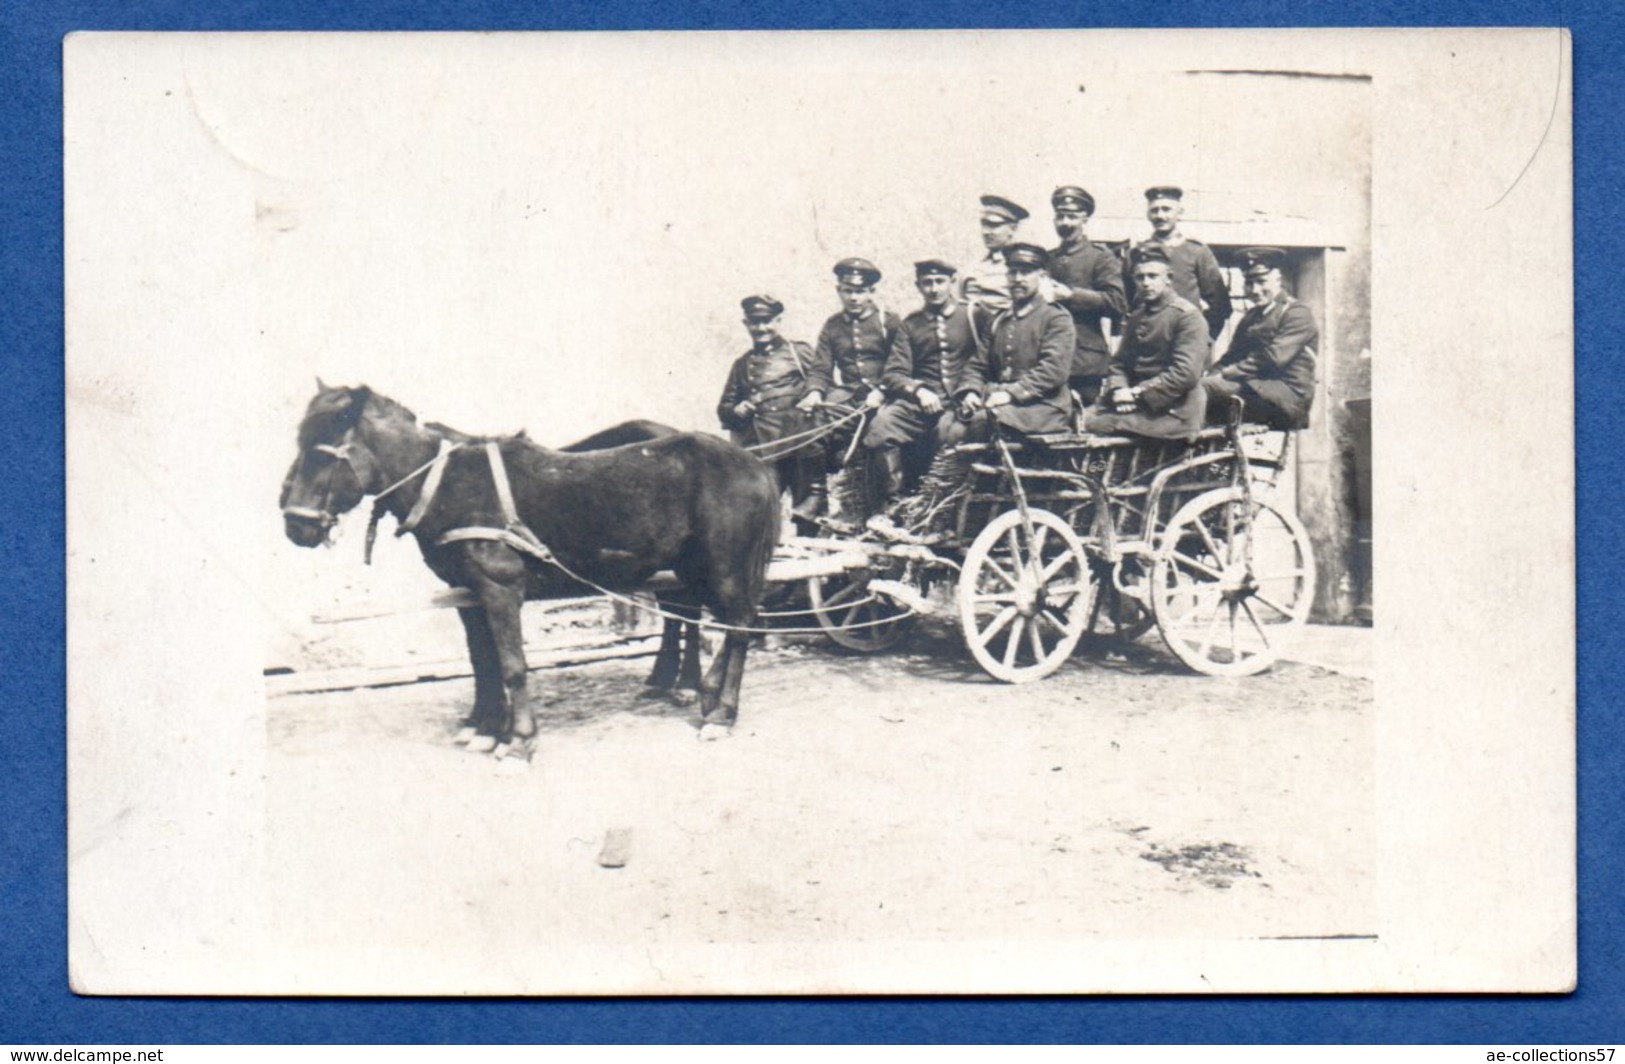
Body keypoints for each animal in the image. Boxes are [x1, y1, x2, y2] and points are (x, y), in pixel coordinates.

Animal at [279, 380, 780, 750]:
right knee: (713, 620)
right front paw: (485, 730)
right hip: (692, 570)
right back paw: (702, 691)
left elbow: (512, 664)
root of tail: (752, 463)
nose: (295, 526)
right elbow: (483, 663)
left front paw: (518, 741)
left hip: (725, 568)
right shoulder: (469, 594)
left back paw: (720, 712)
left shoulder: (500, 587)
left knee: (737, 625)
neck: (446, 483)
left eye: (321, 453)